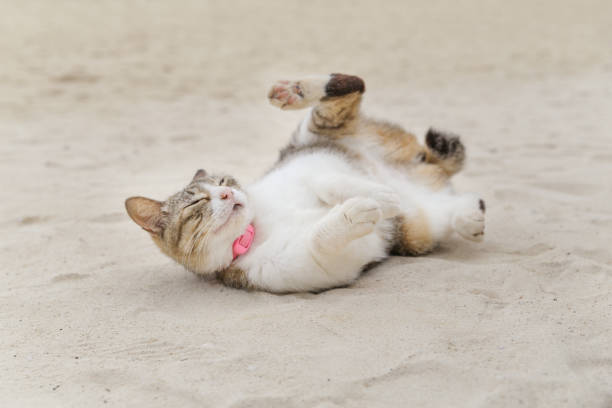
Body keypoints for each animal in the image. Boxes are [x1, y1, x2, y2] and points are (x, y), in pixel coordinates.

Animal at [126, 74, 486, 294]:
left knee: (352, 85)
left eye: (225, 180)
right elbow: (320, 240)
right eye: (197, 203)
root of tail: (423, 164)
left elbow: (326, 181)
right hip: (418, 232)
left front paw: (379, 195)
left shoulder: (304, 169)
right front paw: (358, 210)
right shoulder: (315, 266)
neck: (258, 225)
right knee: (452, 208)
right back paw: (469, 215)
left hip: (313, 130)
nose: (227, 193)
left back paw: (296, 90)